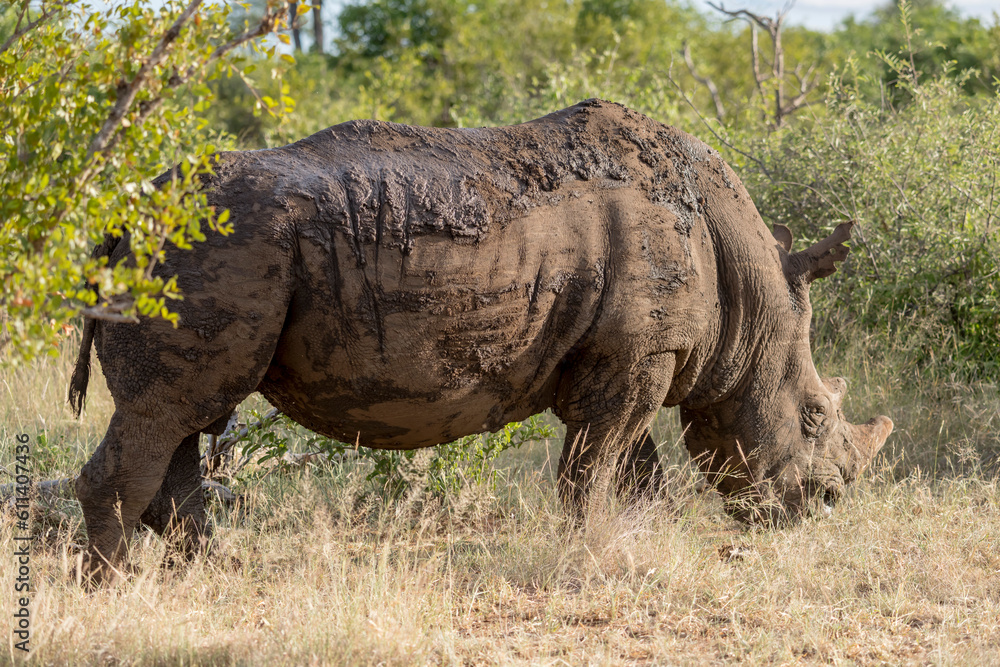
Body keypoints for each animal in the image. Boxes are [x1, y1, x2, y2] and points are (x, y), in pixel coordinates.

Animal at [69, 99, 892, 580]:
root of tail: (117, 220)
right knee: (165, 415)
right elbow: (594, 467)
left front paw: (639, 540)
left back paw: (206, 573)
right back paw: (117, 590)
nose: (825, 503)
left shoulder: (622, 354)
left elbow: (631, 467)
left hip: (196, 250)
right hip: (206, 247)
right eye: (814, 415)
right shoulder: (636, 354)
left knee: (179, 418)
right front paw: (594, 554)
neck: (749, 296)